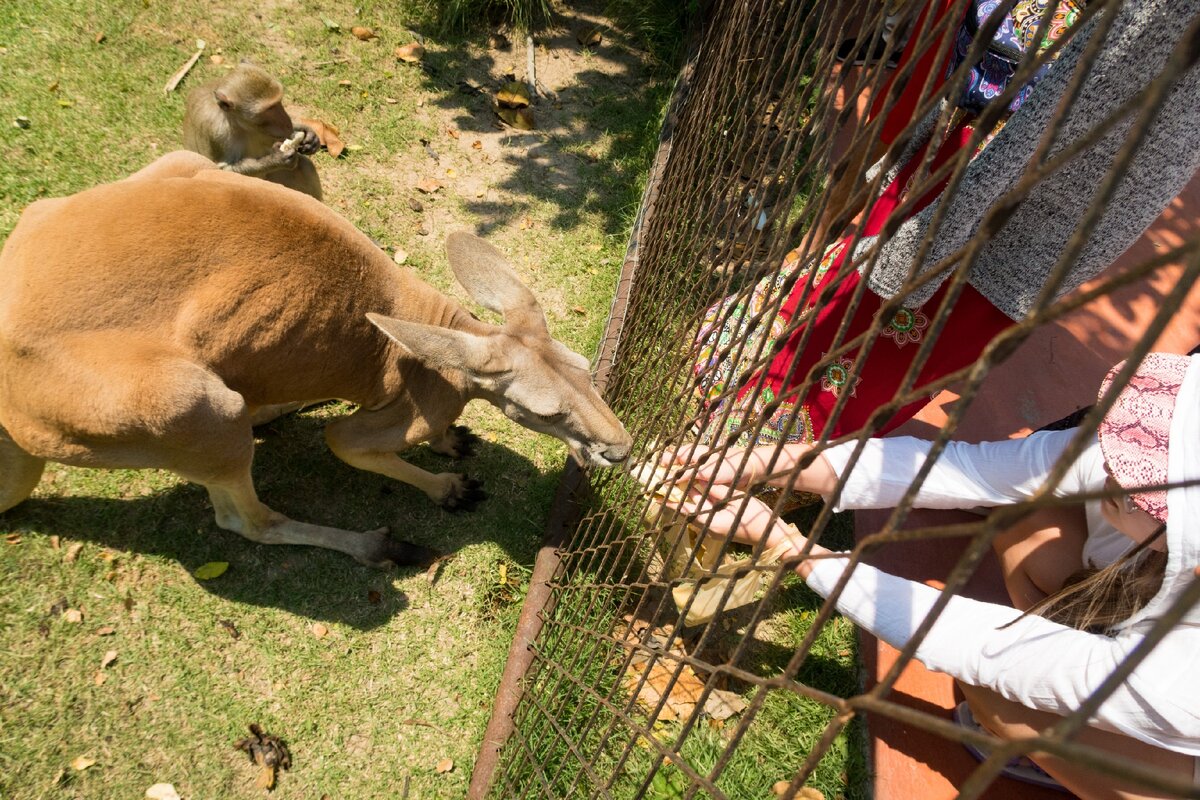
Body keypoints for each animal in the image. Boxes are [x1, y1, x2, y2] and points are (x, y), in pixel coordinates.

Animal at [0, 153, 633, 566]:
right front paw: (447, 486)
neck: (445, 337)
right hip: (180, 403)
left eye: (587, 371)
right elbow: (347, 444)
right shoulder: (404, 410)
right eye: (546, 414)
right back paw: (375, 544)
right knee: (245, 520)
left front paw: (451, 442)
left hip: (172, 168)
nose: (623, 450)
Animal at [183, 61, 324, 200]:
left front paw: (308, 135)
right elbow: (220, 170)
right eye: (269, 109)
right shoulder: (215, 129)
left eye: (279, 102)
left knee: (304, 166)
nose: (286, 122)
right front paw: (276, 159)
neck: (235, 120)